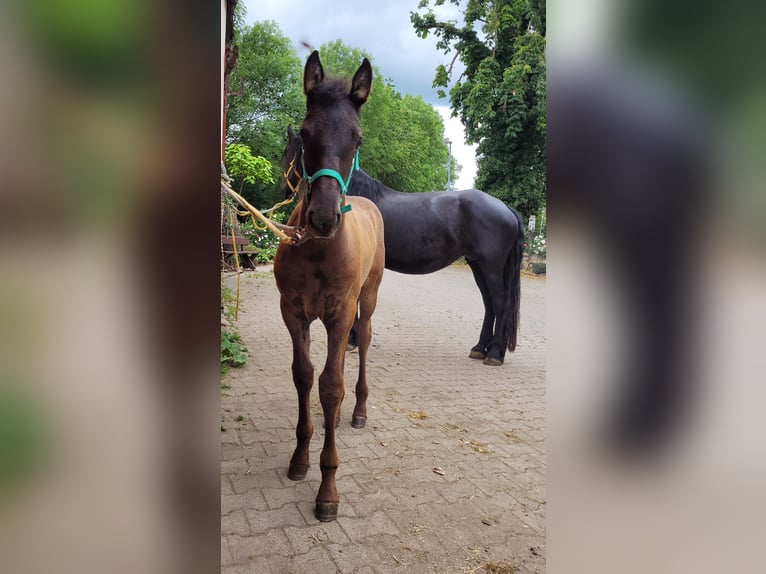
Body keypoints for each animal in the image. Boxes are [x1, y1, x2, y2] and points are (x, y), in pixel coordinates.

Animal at [281, 127, 525, 366]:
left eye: (286, 153)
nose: (284, 190)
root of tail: (505, 209)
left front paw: (350, 341)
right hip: (477, 265)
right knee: (489, 304)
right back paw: (480, 349)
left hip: (491, 268)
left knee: (500, 303)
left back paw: (495, 353)